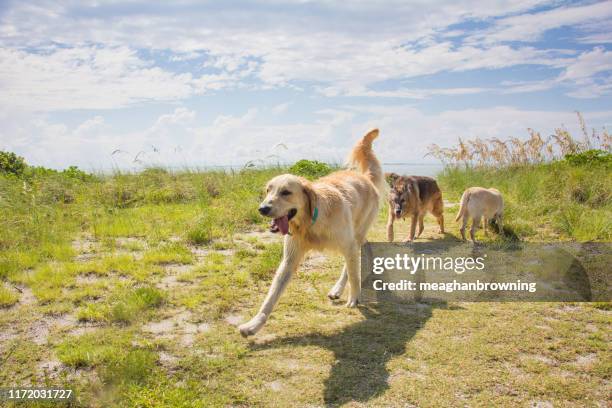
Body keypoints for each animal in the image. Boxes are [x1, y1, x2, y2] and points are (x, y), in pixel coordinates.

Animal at [238, 129, 382, 336]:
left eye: (286, 192)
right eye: (268, 190)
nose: (262, 209)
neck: (310, 222)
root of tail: (365, 178)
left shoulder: (348, 245)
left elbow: (353, 275)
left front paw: (354, 298)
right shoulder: (289, 259)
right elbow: (270, 298)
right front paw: (254, 325)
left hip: (356, 234)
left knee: (352, 263)